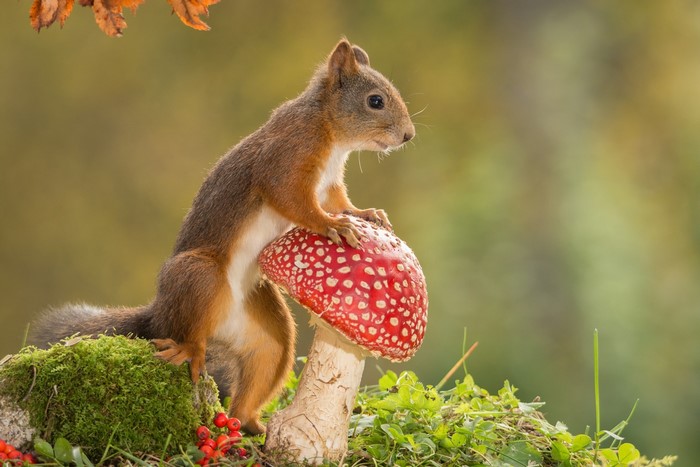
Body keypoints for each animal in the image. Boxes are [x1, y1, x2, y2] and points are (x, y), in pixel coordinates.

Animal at [28, 38, 415, 434]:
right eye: (375, 100)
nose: (408, 135)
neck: (330, 133)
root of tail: (162, 314)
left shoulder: (329, 184)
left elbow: (340, 202)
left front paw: (365, 214)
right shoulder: (286, 159)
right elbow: (296, 202)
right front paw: (332, 226)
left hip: (269, 330)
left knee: (261, 367)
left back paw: (254, 426)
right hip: (199, 276)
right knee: (189, 331)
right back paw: (190, 351)